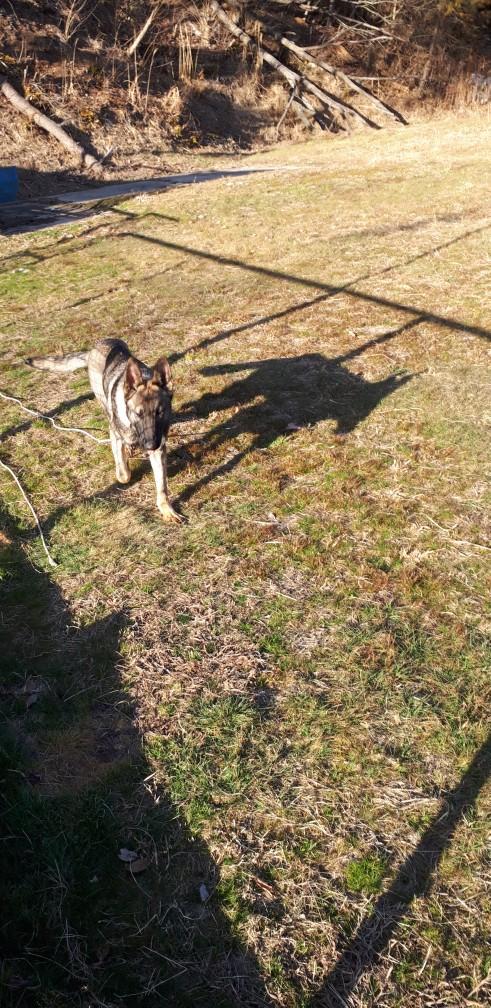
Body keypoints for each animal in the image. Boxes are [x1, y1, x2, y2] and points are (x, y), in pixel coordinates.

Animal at [26, 338, 181, 522]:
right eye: (138, 414)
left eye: (160, 412)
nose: (150, 445)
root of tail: (97, 345)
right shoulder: (116, 435)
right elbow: (123, 474)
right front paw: (126, 465)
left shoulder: (159, 448)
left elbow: (162, 486)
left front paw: (166, 509)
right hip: (102, 401)